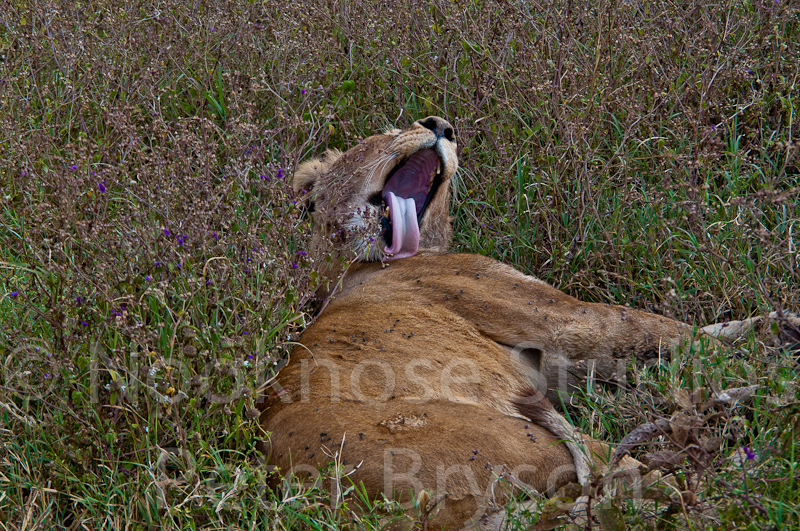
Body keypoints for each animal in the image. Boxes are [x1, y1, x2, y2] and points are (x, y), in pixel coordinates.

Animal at [260, 117, 798, 529]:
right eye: (390, 131)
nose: (440, 124)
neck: (353, 267)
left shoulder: (557, 367)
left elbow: (704, 336)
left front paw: (777, 328)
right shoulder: (562, 320)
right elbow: (676, 335)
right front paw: (776, 372)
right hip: (526, 439)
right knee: (659, 489)